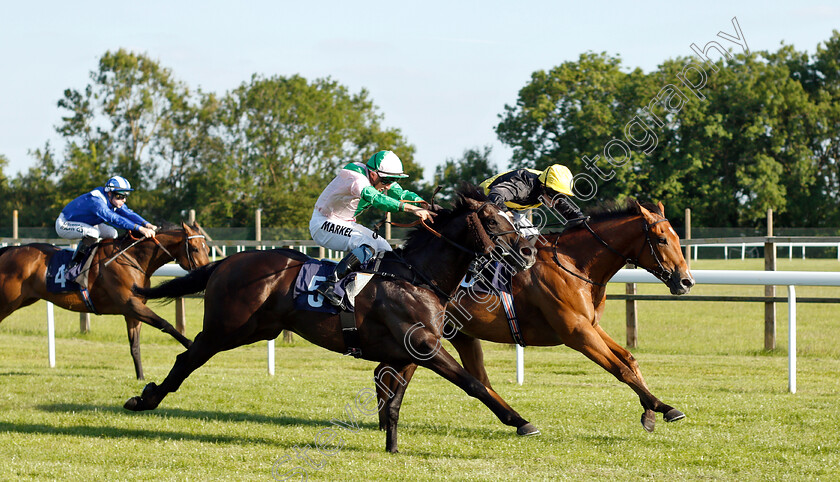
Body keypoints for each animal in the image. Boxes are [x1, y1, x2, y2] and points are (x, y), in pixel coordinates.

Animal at [0, 221, 210, 376]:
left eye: (207, 248)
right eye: (194, 248)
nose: (207, 272)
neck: (132, 259)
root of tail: (8, 250)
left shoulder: (132, 311)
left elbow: (135, 346)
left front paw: (141, 377)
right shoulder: (130, 305)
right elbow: (165, 324)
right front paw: (192, 345)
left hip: (23, 300)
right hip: (8, 301)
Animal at [121, 188, 536, 452]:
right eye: (491, 219)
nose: (527, 251)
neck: (418, 277)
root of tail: (228, 260)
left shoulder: (409, 353)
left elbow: (393, 401)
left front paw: (392, 446)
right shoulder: (425, 346)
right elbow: (473, 384)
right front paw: (519, 420)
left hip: (257, 328)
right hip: (228, 328)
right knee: (187, 358)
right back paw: (145, 399)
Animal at [374, 201, 696, 444]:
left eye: (677, 238)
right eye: (662, 239)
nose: (686, 281)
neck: (575, 264)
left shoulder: (591, 325)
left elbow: (629, 359)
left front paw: (651, 411)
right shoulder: (577, 333)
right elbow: (620, 369)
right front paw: (662, 407)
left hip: (451, 334)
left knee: (396, 372)